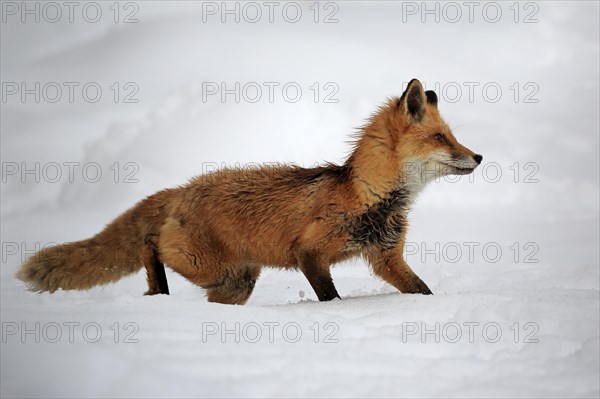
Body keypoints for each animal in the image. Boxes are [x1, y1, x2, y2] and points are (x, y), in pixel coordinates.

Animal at [16, 80, 482, 306]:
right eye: (441, 138)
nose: (478, 157)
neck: (368, 195)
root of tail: (183, 188)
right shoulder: (309, 252)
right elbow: (329, 296)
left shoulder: (386, 257)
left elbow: (421, 290)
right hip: (207, 266)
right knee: (151, 245)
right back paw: (157, 286)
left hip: (235, 281)